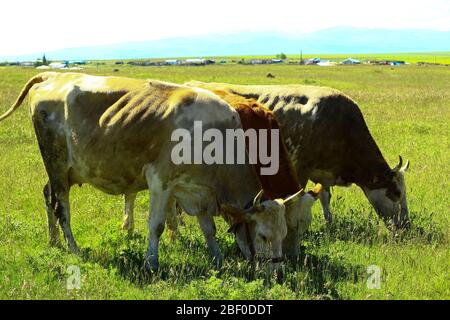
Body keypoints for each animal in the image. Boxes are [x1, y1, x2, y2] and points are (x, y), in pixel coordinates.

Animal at [0, 72, 316, 270]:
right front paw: (151, 262)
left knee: (49, 197)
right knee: (60, 206)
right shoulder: (160, 182)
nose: (279, 272)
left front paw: (216, 259)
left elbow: (208, 228)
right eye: (263, 236)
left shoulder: (197, 190)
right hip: (55, 165)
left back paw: (54, 241)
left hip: (63, 171)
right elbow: (157, 225)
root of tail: (53, 77)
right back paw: (73, 247)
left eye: (285, 231)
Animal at [185, 80, 410, 230]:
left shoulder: (323, 172)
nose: (407, 224)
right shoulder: (301, 167)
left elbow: (325, 197)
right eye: (397, 193)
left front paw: (329, 223)